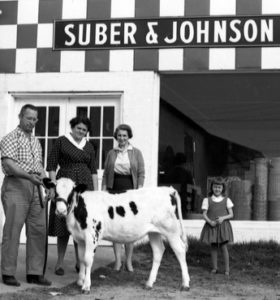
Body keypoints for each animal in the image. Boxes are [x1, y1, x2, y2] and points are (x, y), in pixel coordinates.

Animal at [43, 178, 190, 292]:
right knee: (159, 251)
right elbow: (81, 259)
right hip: (154, 231)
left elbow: (88, 260)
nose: (60, 211)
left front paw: (86, 286)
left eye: (71, 192)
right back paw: (149, 283)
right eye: (56, 191)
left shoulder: (92, 236)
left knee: (180, 250)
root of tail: (168, 189)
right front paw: (80, 281)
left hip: (171, 230)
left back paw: (185, 284)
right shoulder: (79, 238)